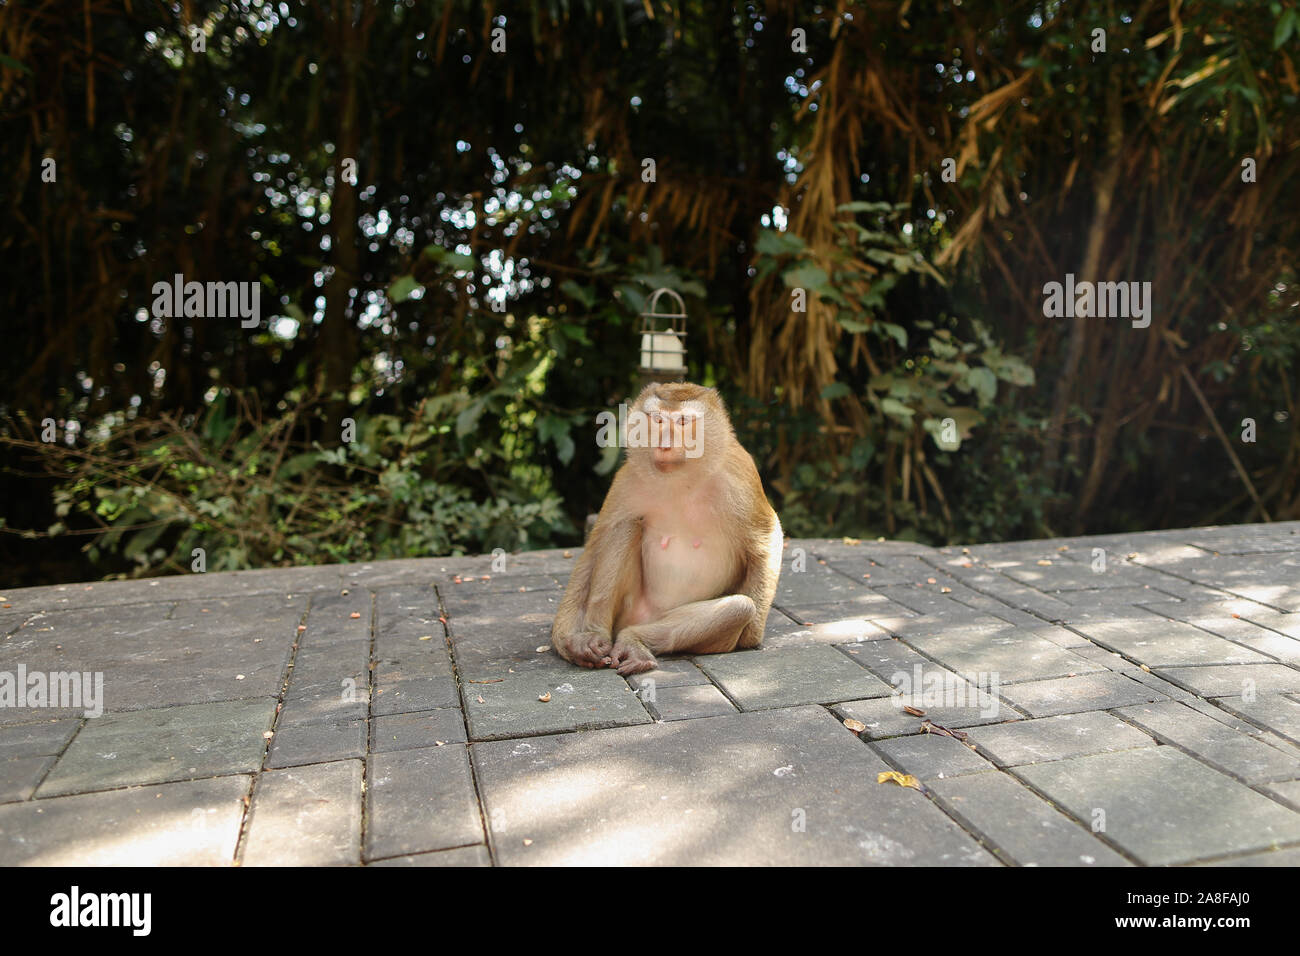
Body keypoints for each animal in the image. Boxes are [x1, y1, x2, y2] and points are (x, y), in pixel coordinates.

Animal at [548, 379, 780, 671]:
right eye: (658, 420)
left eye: (682, 422)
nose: (665, 444)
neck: (681, 479)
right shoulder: (627, 480)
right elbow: (596, 544)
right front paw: (571, 639)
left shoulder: (739, 477)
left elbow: (767, 539)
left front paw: (752, 635)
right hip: (628, 610)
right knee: (624, 528)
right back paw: (596, 635)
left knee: (738, 608)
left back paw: (634, 641)